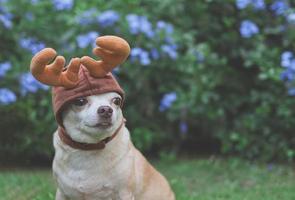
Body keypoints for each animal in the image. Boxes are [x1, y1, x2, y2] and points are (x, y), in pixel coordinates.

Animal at [29, 35, 176, 199]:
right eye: (80, 101)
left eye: (116, 101)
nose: (106, 109)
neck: (88, 147)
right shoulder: (62, 193)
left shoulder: (124, 193)